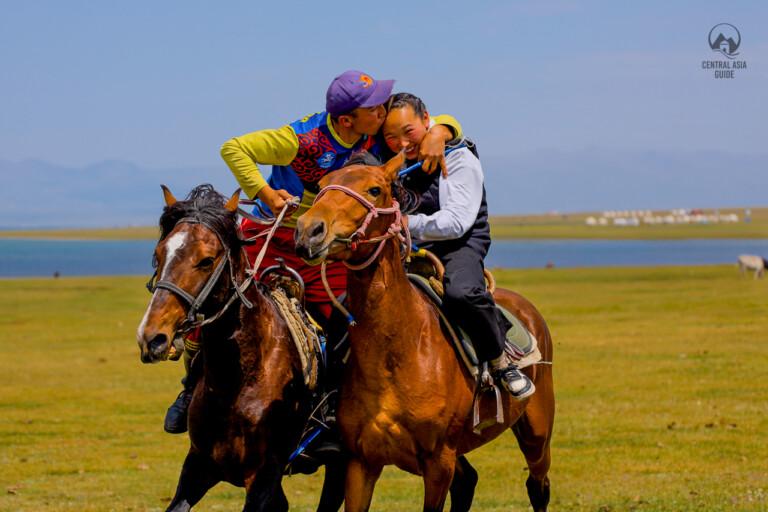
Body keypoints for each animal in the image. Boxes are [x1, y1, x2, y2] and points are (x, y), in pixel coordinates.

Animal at [136, 184, 344, 512]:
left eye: (206, 260)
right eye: (159, 254)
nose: (152, 337)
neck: (238, 377)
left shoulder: (264, 475)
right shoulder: (198, 465)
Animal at [295, 153, 555, 512]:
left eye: (375, 189)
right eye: (321, 186)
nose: (309, 230)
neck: (399, 351)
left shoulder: (438, 463)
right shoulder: (360, 463)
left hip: (536, 435)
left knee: (538, 486)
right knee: (469, 482)